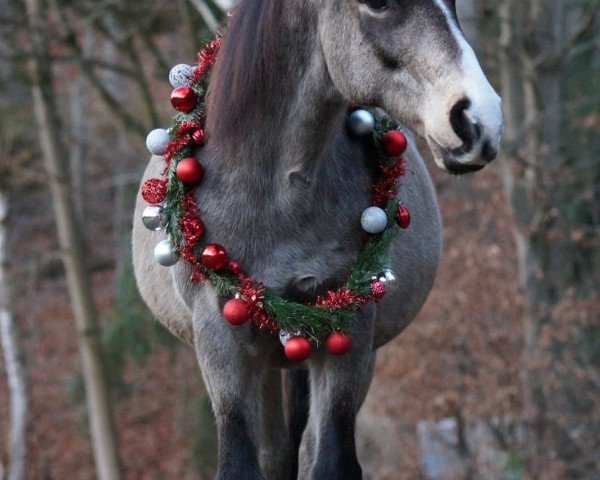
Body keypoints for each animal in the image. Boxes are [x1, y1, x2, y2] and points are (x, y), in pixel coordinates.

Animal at [134, 1, 504, 478]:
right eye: (378, 5)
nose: (479, 119)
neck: (275, 190)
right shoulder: (219, 339)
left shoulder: (349, 334)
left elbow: (328, 458)